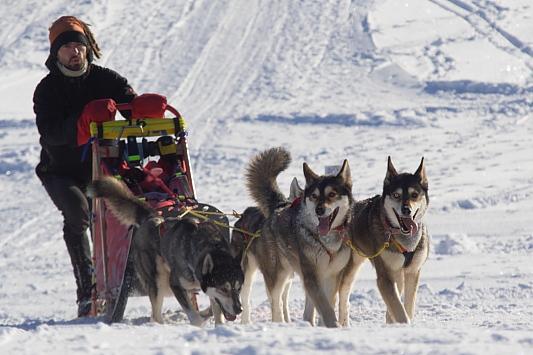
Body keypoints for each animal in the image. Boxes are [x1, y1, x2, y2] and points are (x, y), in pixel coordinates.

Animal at [86, 177, 244, 326]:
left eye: (238, 288)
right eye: (223, 288)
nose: (239, 309)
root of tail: (151, 218)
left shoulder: (213, 295)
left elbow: (218, 314)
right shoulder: (176, 286)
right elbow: (196, 318)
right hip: (159, 282)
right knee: (156, 314)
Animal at [244, 147, 354, 328]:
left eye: (332, 194)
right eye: (314, 196)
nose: (319, 210)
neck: (327, 243)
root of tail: (280, 206)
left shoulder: (332, 276)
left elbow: (327, 303)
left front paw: (326, 325)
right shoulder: (312, 275)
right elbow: (324, 305)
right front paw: (333, 324)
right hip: (278, 274)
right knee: (276, 302)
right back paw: (279, 323)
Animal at [348, 157, 430, 324]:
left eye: (414, 194)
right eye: (396, 195)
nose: (406, 210)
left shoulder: (412, 272)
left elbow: (407, 308)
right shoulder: (385, 277)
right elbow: (400, 311)